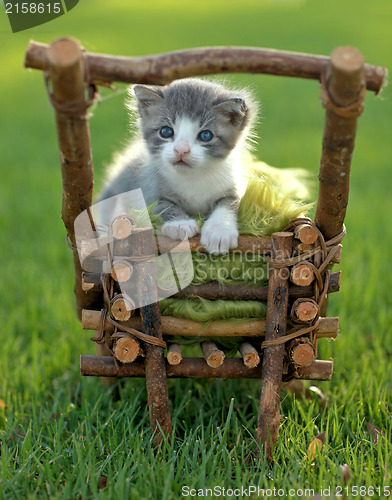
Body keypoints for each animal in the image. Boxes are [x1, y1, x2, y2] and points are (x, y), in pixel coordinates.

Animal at [97, 78, 258, 254]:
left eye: (205, 135)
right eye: (166, 132)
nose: (181, 150)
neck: (193, 177)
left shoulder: (233, 184)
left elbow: (230, 202)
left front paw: (219, 230)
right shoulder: (146, 182)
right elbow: (161, 204)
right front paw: (180, 224)